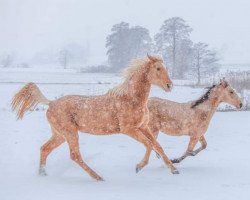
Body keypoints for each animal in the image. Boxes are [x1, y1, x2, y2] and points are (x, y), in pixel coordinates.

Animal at [11, 54, 179, 181]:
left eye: (166, 68)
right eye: (158, 68)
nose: (169, 86)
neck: (131, 99)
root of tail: (51, 103)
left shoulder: (143, 127)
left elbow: (157, 145)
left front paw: (174, 169)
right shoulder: (129, 129)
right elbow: (149, 144)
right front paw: (139, 166)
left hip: (59, 135)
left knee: (45, 148)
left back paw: (43, 174)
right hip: (70, 133)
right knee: (75, 155)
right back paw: (98, 177)